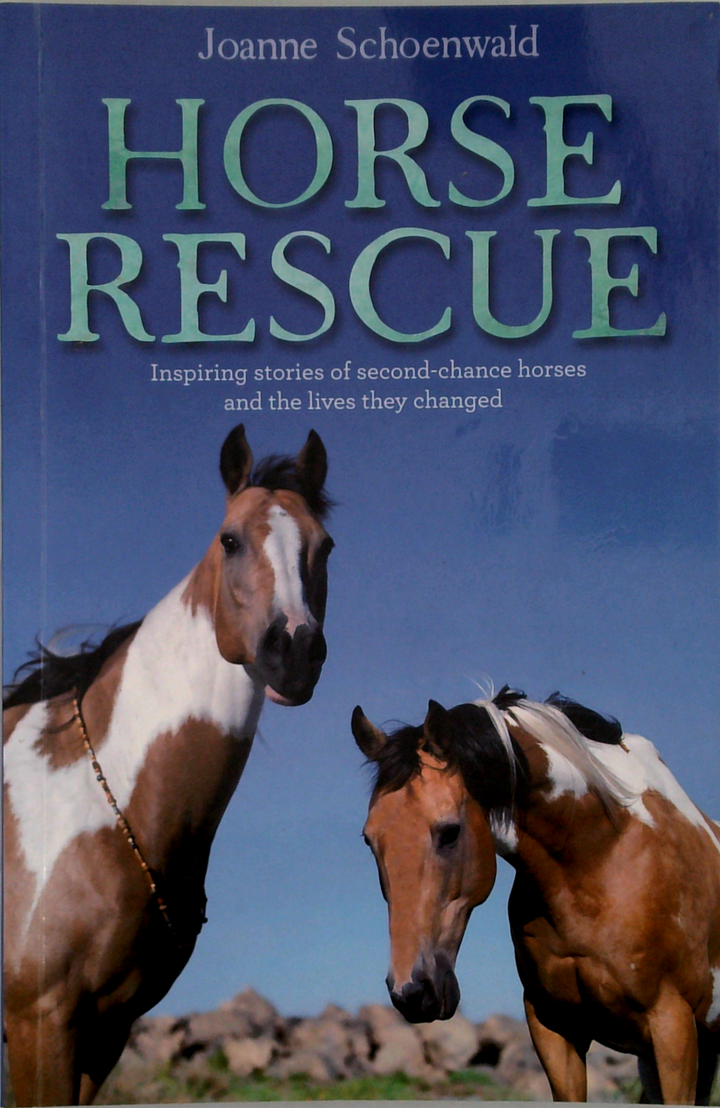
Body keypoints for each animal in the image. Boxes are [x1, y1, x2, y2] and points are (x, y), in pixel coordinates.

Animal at [352, 688, 720, 1104]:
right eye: (370, 840)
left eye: (450, 831)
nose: (411, 992)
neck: (601, 857)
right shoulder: (554, 1028)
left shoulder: (673, 1027)